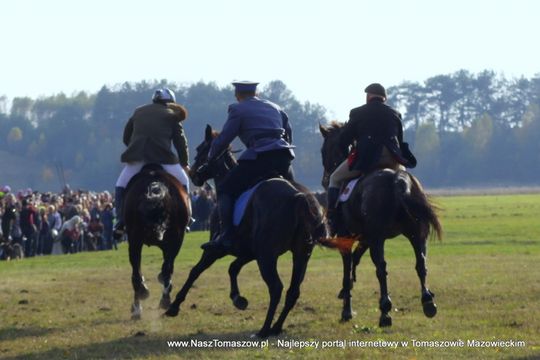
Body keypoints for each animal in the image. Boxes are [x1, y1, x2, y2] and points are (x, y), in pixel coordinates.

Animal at [162, 124, 326, 338]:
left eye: (200, 150)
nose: (194, 174)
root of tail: (299, 196)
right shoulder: (249, 252)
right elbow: (233, 268)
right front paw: (238, 299)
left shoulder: (216, 250)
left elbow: (195, 271)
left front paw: (174, 306)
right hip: (300, 255)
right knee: (293, 291)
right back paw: (276, 327)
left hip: (267, 257)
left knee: (276, 288)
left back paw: (264, 330)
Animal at [318, 122, 440, 328]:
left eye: (324, 150)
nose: (324, 180)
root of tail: (398, 180)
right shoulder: (366, 238)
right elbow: (356, 260)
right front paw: (347, 291)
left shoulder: (349, 238)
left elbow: (347, 269)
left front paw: (346, 310)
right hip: (416, 234)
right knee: (421, 264)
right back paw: (427, 302)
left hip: (379, 238)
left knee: (382, 269)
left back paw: (385, 312)